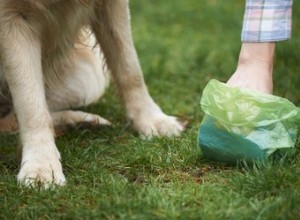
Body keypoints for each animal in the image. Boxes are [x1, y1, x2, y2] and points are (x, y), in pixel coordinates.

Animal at [0, 0, 184, 187]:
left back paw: (82, 122)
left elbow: (130, 68)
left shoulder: (111, 6)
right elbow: (31, 106)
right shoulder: (10, 18)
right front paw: (42, 165)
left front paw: (152, 119)